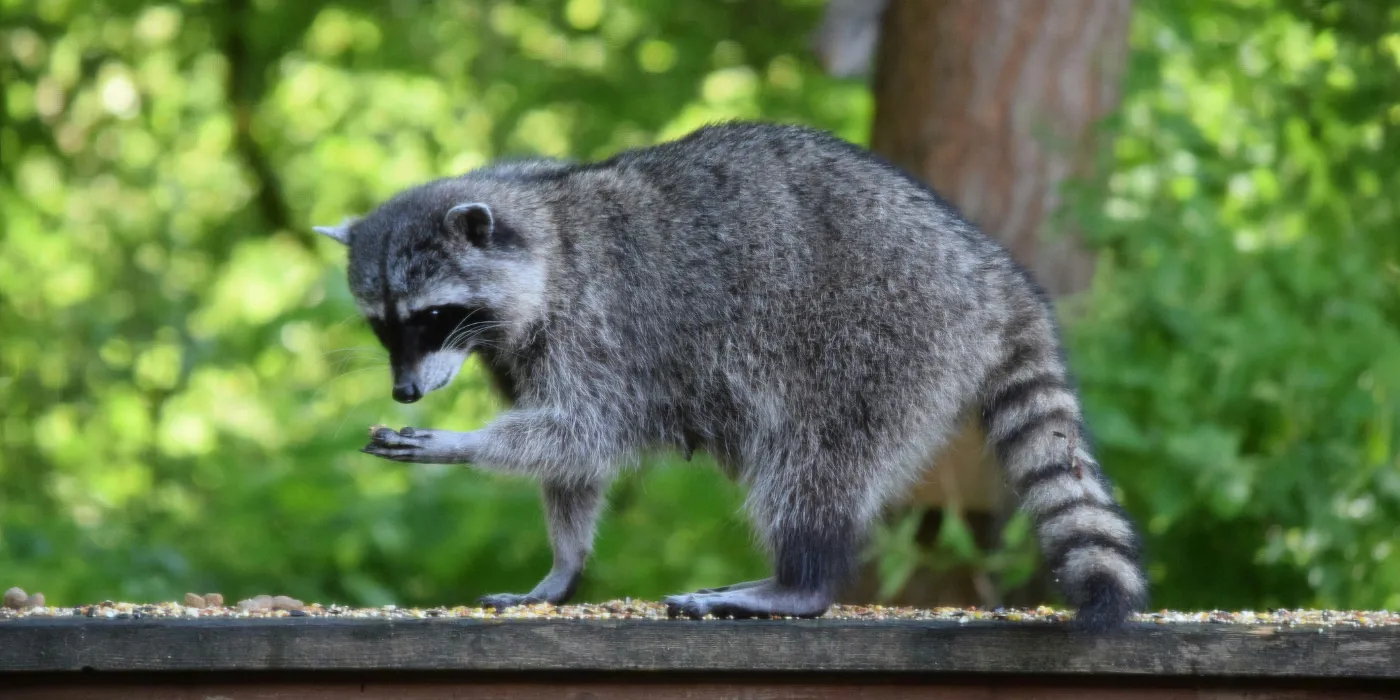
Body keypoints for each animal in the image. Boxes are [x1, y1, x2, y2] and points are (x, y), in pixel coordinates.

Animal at [317, 122, 1146, 629]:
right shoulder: (523, 351)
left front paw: (460, 443)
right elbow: (572, 464)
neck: (539, 226)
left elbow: (586, 432)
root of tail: (990, 270)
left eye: (430, 317)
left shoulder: (601, 326)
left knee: (812, 461)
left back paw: (797, 581)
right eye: (383, 325)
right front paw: (564, 564)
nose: (405, 391)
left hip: (877, 338)